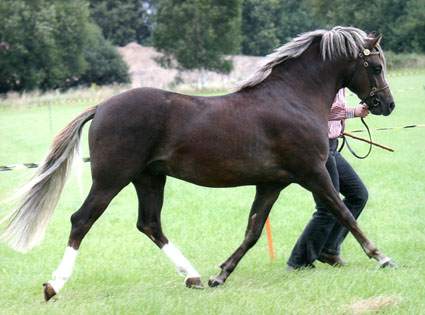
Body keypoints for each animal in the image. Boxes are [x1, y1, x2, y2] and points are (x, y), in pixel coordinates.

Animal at [0, 26, 394, 302]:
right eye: (375, 66)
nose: (386, 105)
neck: (291, 98)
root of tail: (103, 106)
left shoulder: (271, 183)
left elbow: (253, 231)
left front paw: (221, 275)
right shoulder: (312, 173)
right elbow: (343, 212)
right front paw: (381, 257)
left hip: (149, 179)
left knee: (150, 224)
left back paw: (192, 277)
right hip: (112, 179)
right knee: (82, 220)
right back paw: (54, 285)